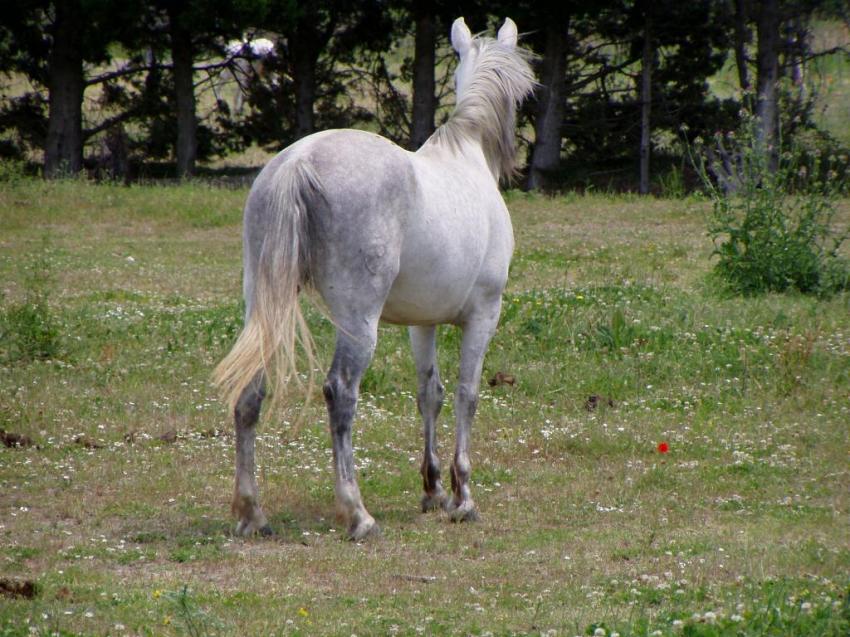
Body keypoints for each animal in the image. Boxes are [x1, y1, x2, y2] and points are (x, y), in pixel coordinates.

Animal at [213, 17, 534, 540]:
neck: (466, 156)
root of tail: (300, 161)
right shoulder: (484, 313)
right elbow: (466, 395)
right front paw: (462, 496)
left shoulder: (423, 323)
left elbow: (430, 395)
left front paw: (433, 490)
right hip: (358, 321)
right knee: (341, 393)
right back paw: (357, 513)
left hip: (263, 308)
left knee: (249, 393)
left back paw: (251, 513)